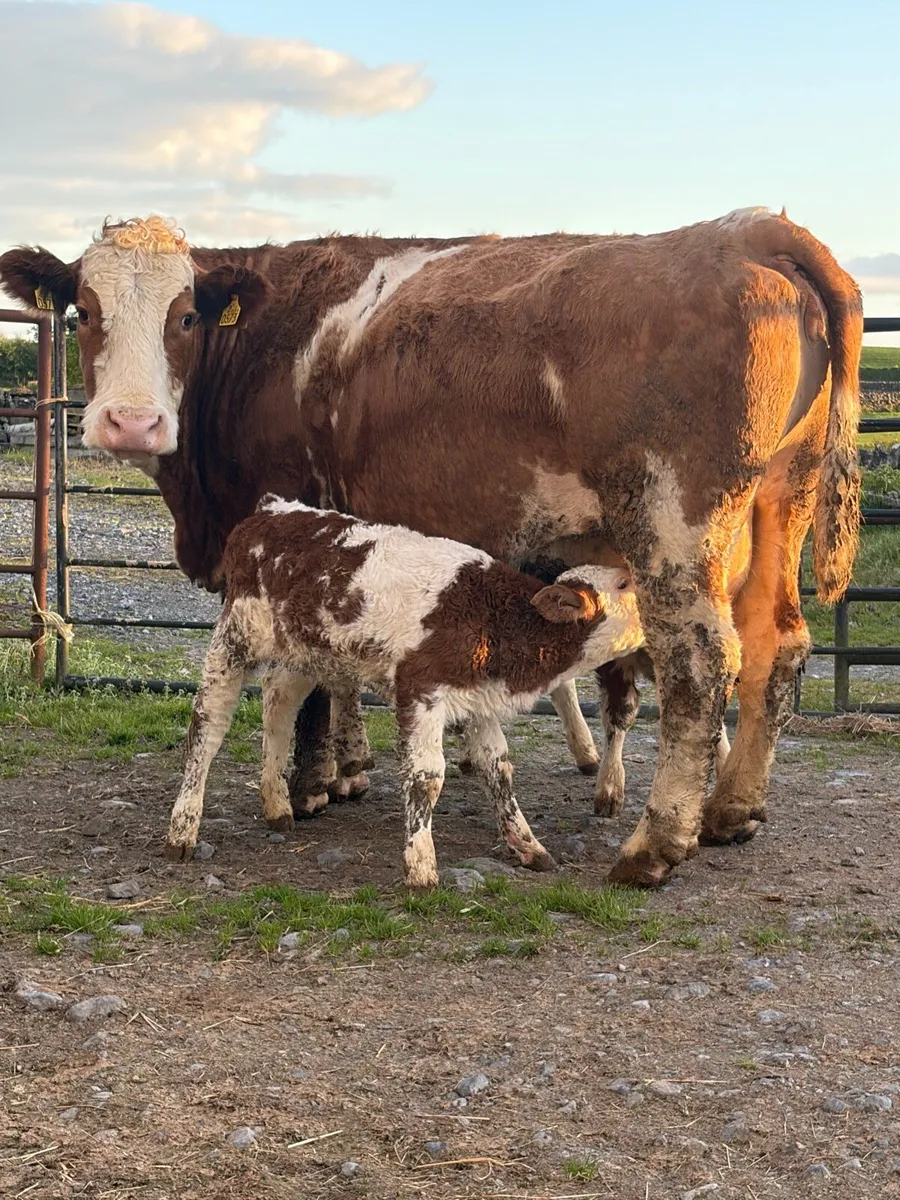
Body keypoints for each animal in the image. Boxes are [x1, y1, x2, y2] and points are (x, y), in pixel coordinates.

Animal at [165, 497, 645, 883]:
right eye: (623, 584)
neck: (491, 614)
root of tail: (270, 512)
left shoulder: (479, 703)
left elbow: (499, 771)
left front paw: (528, 846)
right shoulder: (421, 691)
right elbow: (426, 778)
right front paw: (421, 866)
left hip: (307, 652)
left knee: (279, 699)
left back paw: (277, 805)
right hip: (235, 639)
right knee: (207, 726)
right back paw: (183, 827)